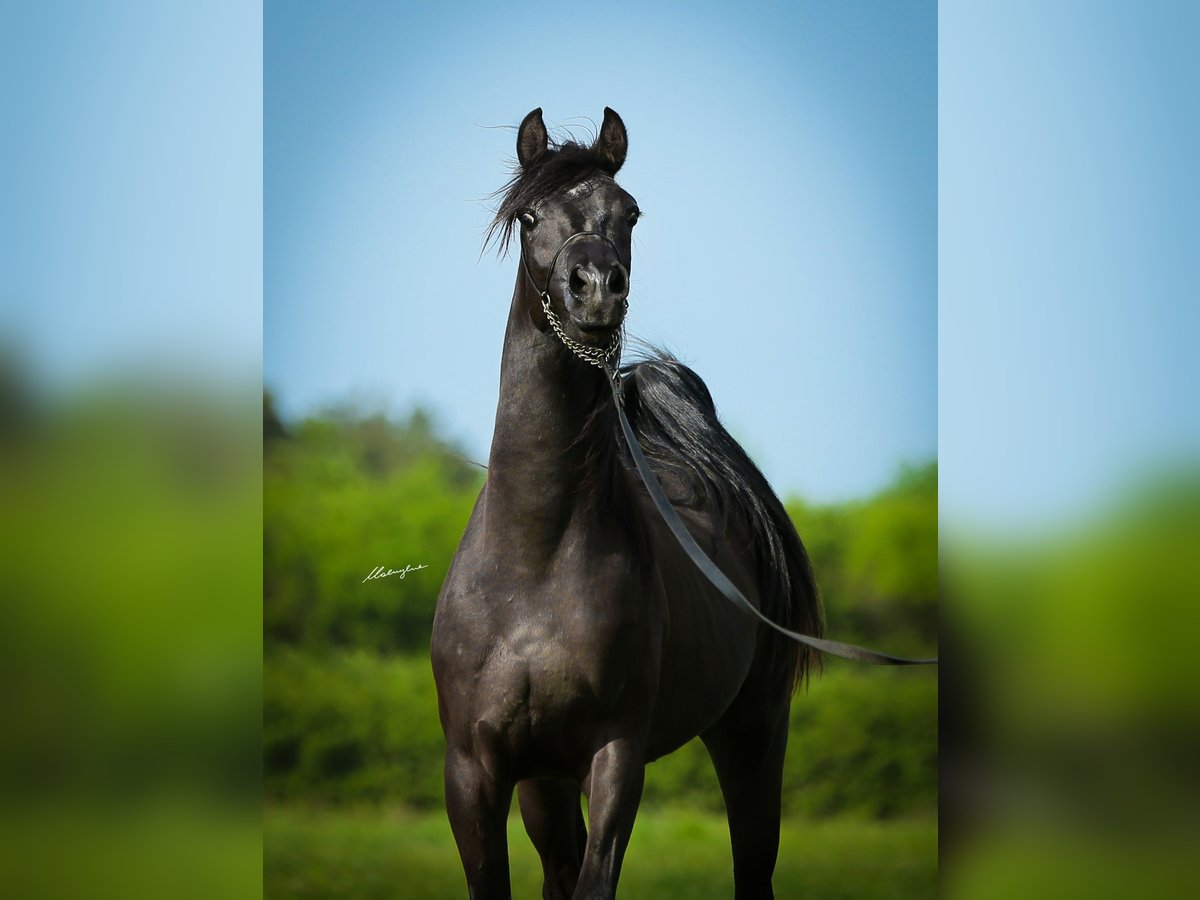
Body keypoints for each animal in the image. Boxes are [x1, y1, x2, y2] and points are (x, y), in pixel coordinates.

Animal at [431, 107, 823, 900]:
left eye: (631, 212)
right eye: (529, 215)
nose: (596, 290)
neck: (534, 562)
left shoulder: (615, 755)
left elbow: (597, 879)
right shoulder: (476, 772)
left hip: (753, 734)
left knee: (753, 865)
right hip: (545, 782)